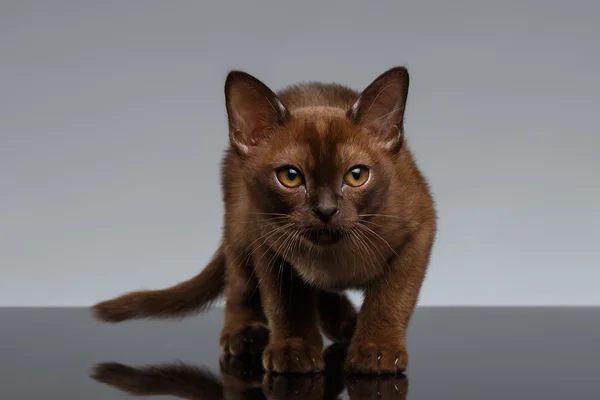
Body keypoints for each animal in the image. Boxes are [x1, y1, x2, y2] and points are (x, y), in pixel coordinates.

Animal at [95, 65, 440, 376]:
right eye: (290, 177)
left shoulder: (419, 232)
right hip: (239, 228)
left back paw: (344, 323)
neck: (334, 258)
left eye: (356, 176)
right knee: (239, 284)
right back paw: (245, 333)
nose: (325, 210)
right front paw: (293, 350)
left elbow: (389, 298)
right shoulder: (268, 242)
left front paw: (376, 352)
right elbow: (285, 303)